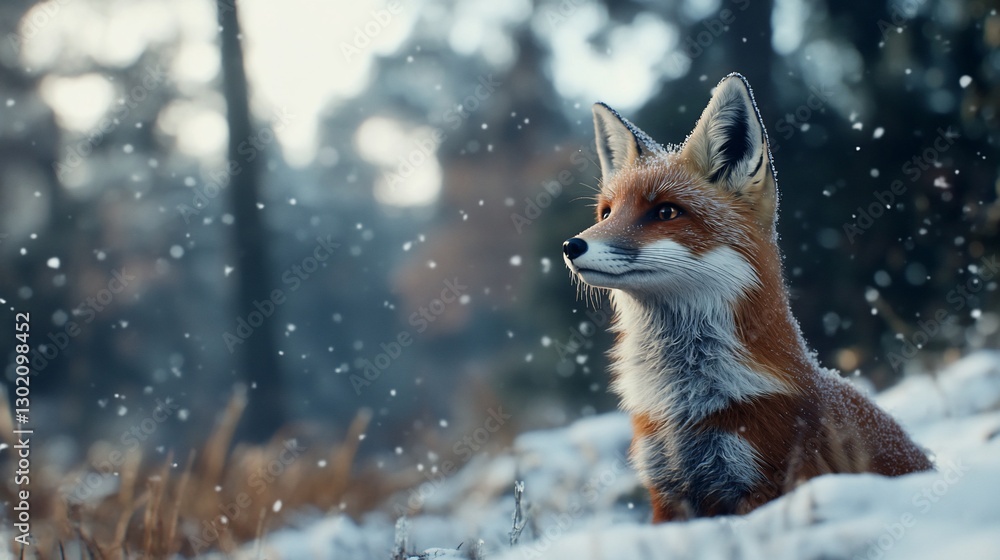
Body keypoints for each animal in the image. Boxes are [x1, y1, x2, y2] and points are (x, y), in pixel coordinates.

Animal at [562, 73, 933, 522]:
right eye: (606, 213)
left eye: (666, 212)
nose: (571, 246)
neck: (684, 405)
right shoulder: (665, 492)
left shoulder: (765, 478)